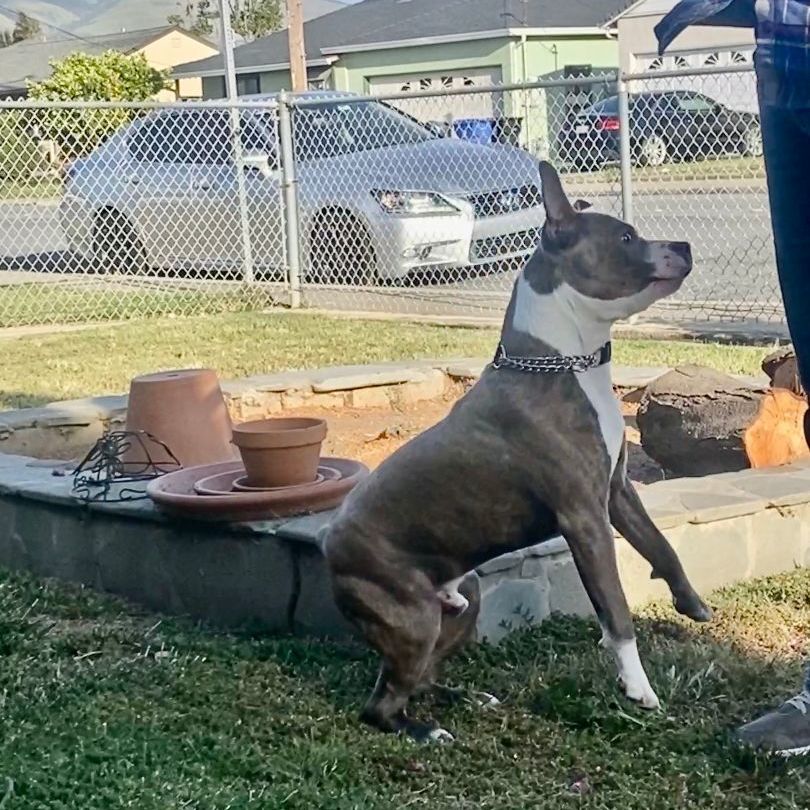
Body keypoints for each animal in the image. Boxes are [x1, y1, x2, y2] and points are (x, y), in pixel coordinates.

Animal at [318, 161, 712, 740]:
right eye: (625, 237)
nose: (683, 245)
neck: (564, 361)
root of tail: (329, 541)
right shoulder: (585, 519)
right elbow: (616, 614)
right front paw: (637, 688)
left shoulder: (618, 493)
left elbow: (663, 547)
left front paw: (691, 602)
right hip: (412, 617)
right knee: (381, 704)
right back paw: (423, 730)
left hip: (463, 600)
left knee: (423, 677)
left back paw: (464, 698)